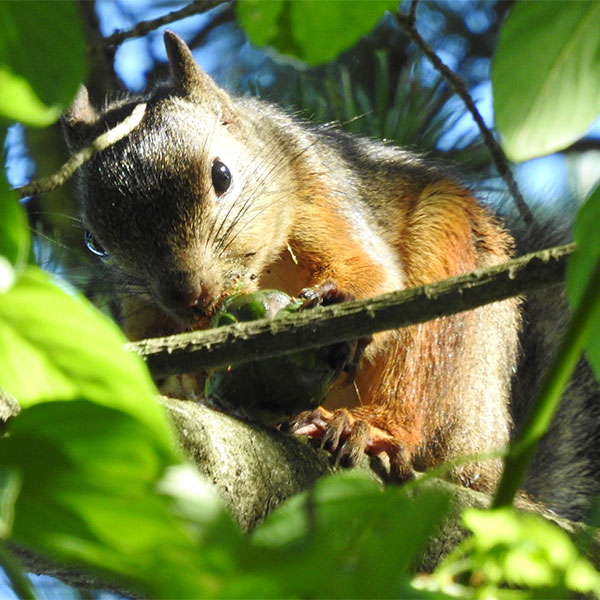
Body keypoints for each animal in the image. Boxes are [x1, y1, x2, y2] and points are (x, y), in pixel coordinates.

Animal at [63, 31, 580, 506]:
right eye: (95, 242)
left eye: (221, 175)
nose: (189, 294)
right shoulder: (143, 311)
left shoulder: (319, 194)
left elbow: (374, 274)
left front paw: (340, 298)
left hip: (453, 283)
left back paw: (371, 428)